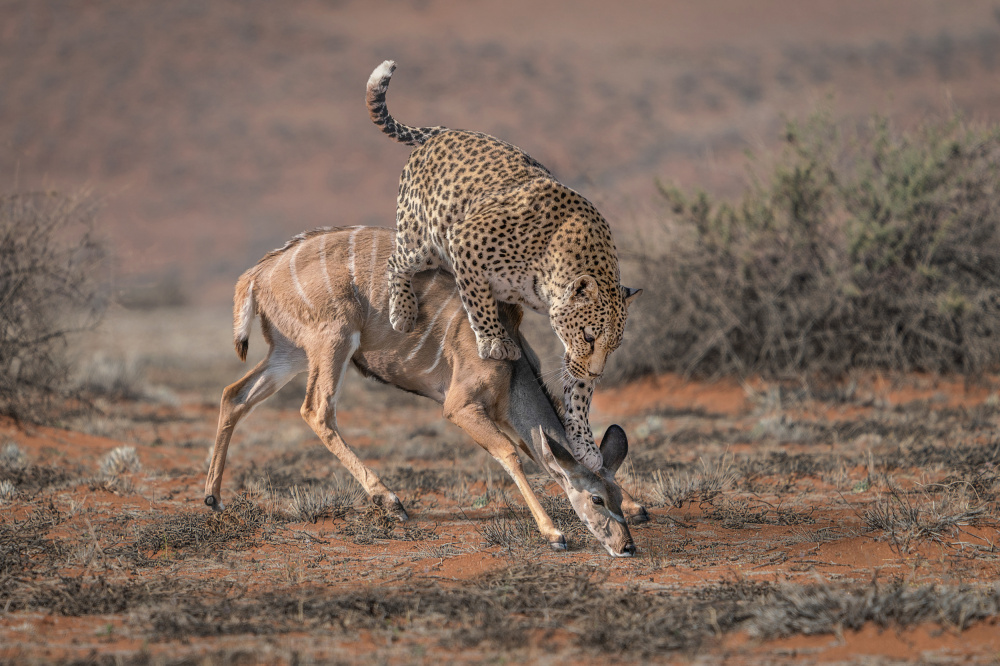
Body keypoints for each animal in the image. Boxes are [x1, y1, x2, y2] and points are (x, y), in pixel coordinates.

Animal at [205, 226, 640, 552]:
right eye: (597, 499)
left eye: (616, 495)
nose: (626, 547)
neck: (512, 363)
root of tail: (256, 275)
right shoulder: (459, 407)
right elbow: (510, 455)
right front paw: (554, 533)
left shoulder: (501, 414)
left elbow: (535, 452)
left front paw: (639, 507)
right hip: (333, 339)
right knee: (316, 410)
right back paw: (391, 501)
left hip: (290, 353)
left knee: (234, 394)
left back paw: (213, 498)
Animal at [368, 59, 640, 470]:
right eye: (589, 336)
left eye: (614, 345)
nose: (598, 372)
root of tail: (446, 131)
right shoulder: (465, 240)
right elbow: (478, 301)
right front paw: (495, 343)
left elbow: (577, 391)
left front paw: (584, 443)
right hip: (422, 239)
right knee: (396, 260)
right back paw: (402, 310)